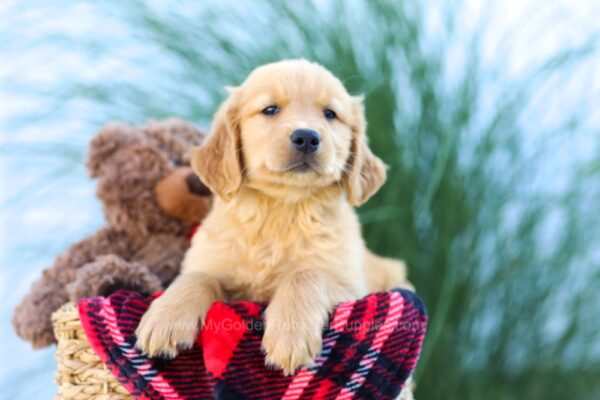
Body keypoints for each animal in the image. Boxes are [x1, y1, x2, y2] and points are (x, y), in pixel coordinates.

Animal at [135, 58, 412, 376]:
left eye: (330, 114)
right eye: (270, 109)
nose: (307, 137)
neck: (281, 209)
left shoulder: (351, 285)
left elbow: (305, 274)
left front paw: (289, 336)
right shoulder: (212, 260)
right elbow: (198, 277)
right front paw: (165, 319)